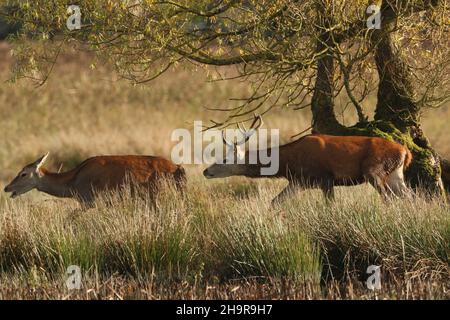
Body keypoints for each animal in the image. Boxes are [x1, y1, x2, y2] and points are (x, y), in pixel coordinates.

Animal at [4, 154, 185, 206]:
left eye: (23, 173)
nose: (6, 187)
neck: (73, 185)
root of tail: (177, 168)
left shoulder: (90, 200)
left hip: (158, 193)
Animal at [203, 115, 412, 205]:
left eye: (224, 159)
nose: (206, 171)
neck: (288, 163)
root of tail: (406, 151)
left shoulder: (325, 178)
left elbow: (330, 205)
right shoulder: (298, 182)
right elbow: (275, 201)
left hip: (374, 170)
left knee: (388, 198)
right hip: (395, 174)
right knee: (408, 196)